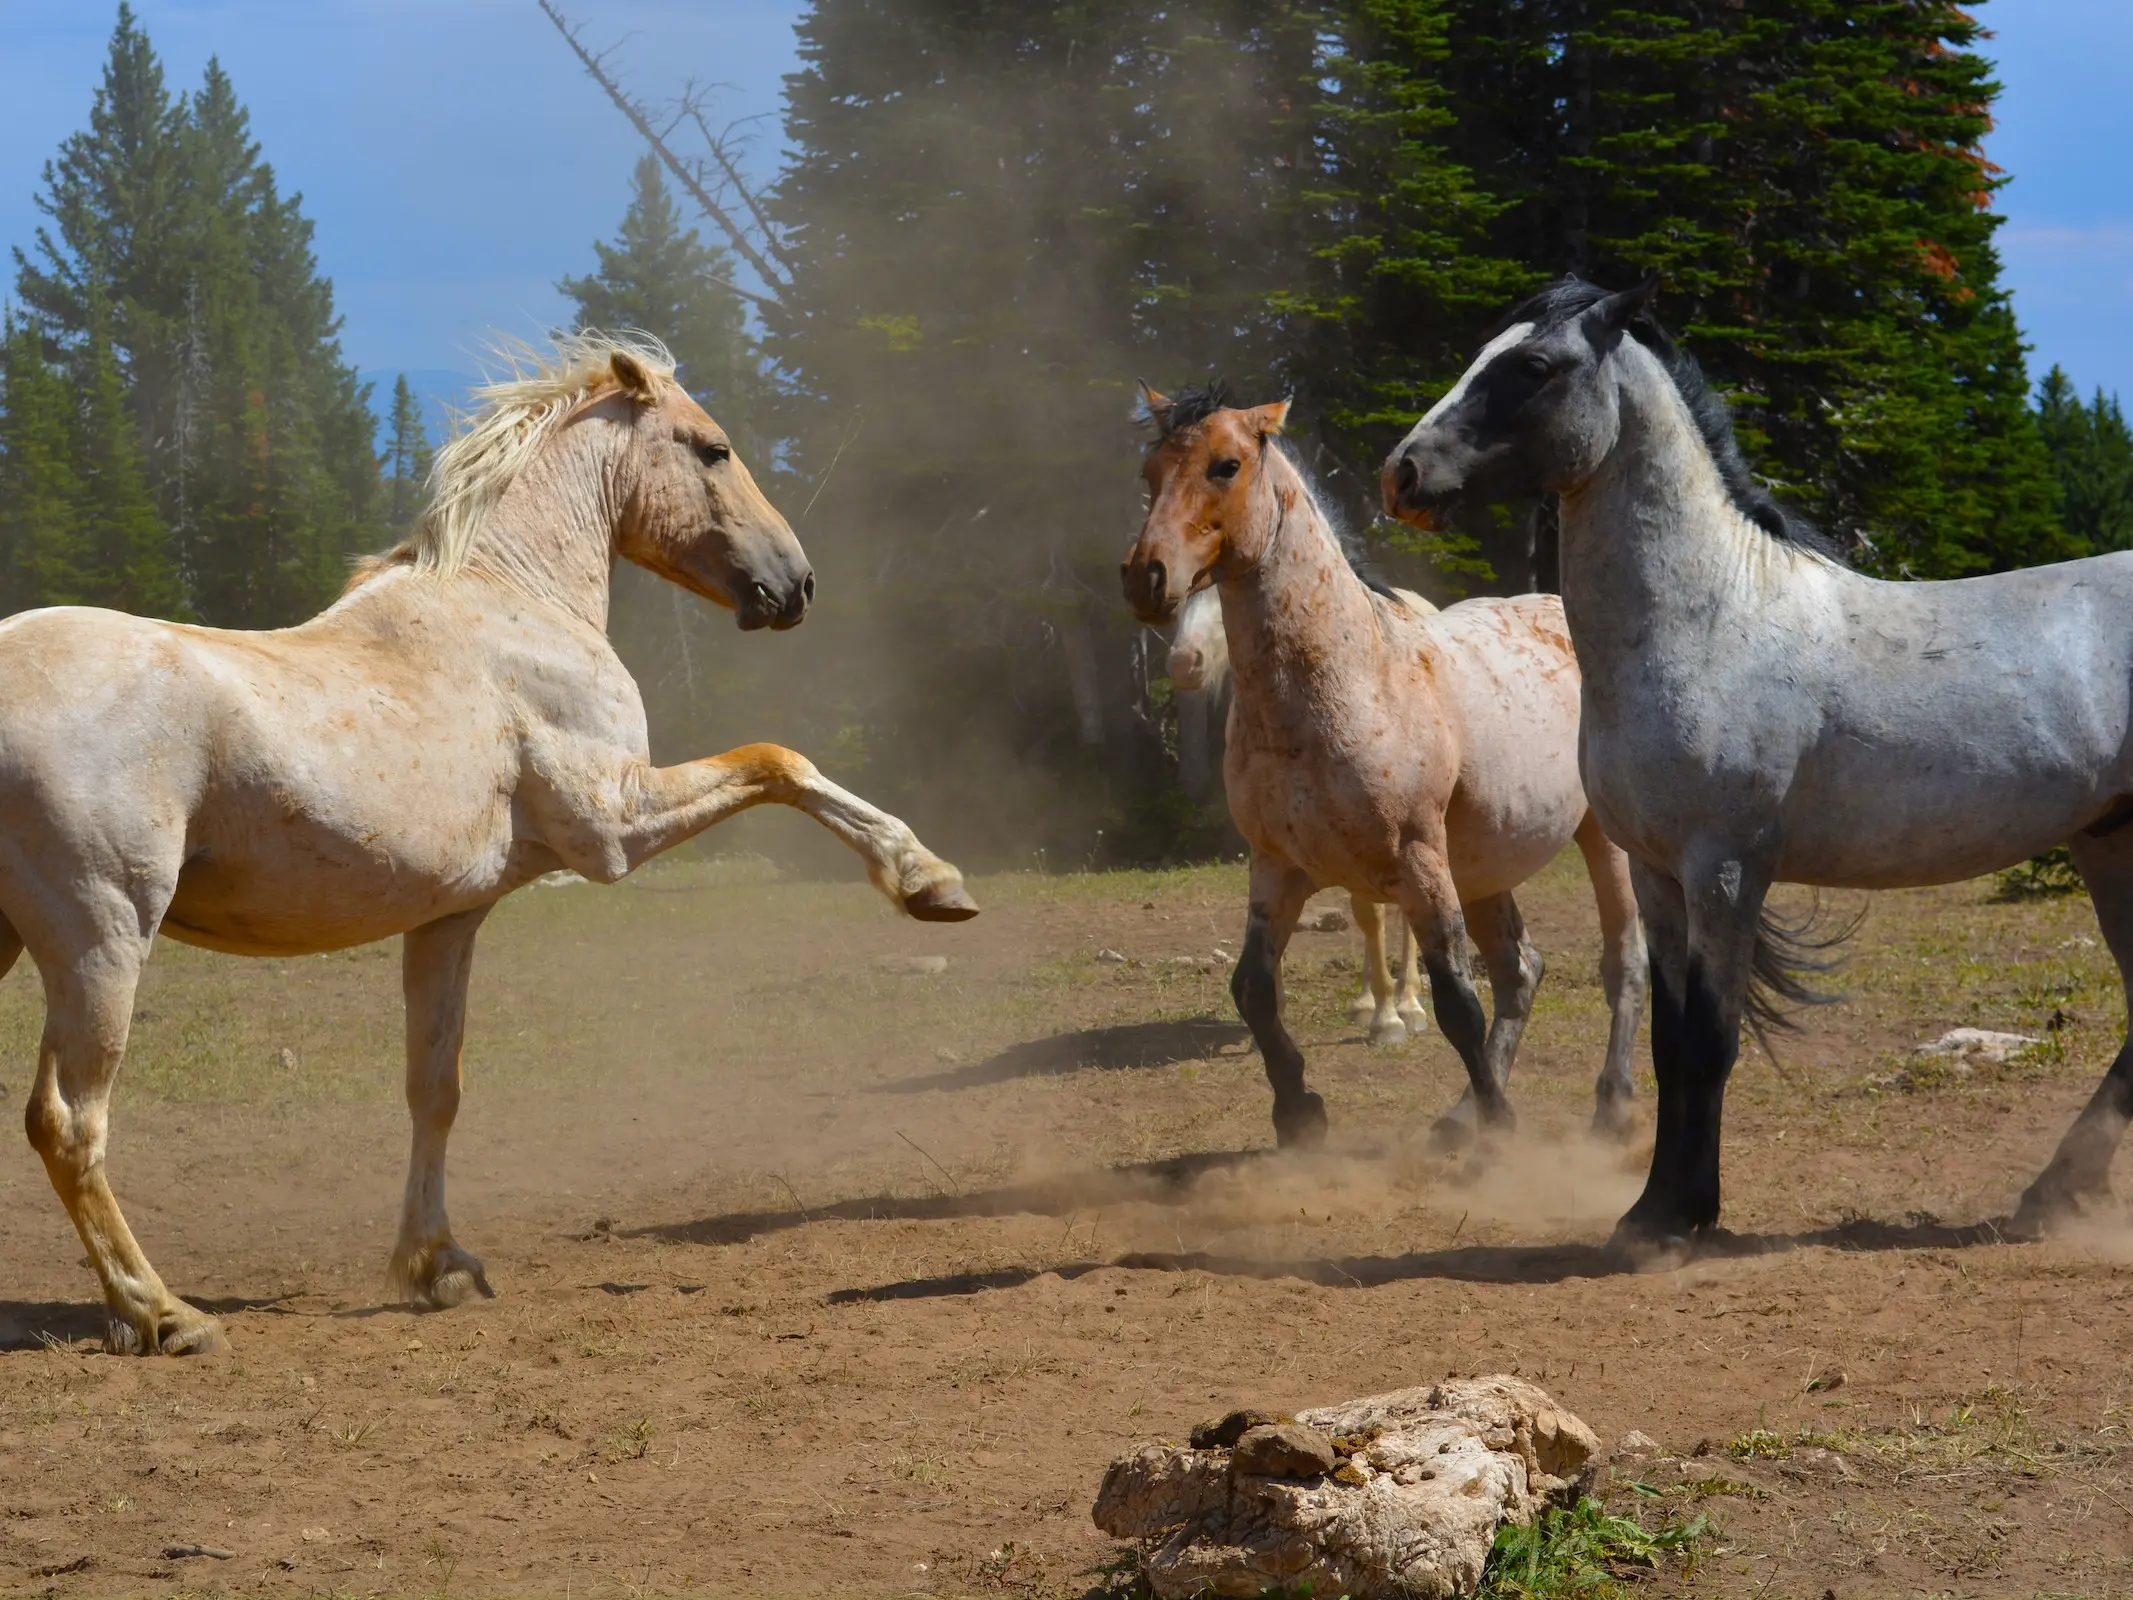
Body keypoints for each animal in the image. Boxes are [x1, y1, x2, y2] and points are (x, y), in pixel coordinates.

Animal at [0, 334, 976, 1356]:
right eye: (712, 448)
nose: (795, 585)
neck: (512, 603)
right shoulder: (614, 826)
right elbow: (778, 761)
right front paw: (927, 879)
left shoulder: (449, 918)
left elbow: (435, 1088)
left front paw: (438, 1265)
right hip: (103, 937)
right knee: (70, 1123)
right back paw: (162, 1313)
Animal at [1168, 584, 1433, 1045]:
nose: (1185, 662)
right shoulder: (1271, 844)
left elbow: (1372, 915)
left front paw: (1388, 1020)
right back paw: (1365, 1001)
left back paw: (1408, 1003)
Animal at [1390, 279, 2133, 1262]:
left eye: (1533, 366)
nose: (1401, 473)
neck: (1709, 619)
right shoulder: (1657, 873)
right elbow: (1670, 1044)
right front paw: (1650, 1210)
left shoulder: (1725, 869)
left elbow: (1709, 1041)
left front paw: (1677, 1218)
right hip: (2107, 844)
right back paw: (2053, 1195)